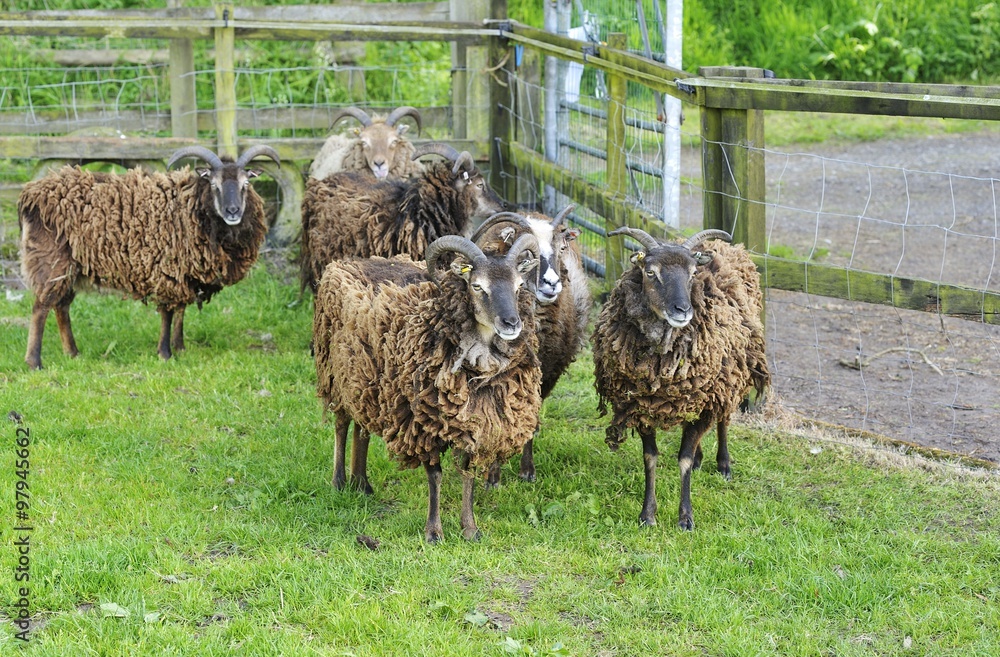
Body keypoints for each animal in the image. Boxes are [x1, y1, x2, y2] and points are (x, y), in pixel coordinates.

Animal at [18, 145, 280, 369]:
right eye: (214, 185)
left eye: (245, 184)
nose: (233, 211)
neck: (192, 206)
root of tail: (30, 196)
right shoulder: (167, 269)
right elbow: (167, 313)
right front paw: (165, 353)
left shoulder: (186, 272)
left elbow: (180, 311)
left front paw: (180, 348)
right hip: (51, 261)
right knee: (41, 307)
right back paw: (34, 362)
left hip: (72, 268)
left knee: (61, 306)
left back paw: (72, 353)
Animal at [313, 233, 542, 542]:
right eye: (477, 286)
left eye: (519, 286)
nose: (511, 323)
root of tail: (354, 260)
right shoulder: (423, 423)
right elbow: (435, 476)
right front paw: (434, 532)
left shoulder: (474, 424)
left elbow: (467, 474)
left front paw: (470, 529)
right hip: (336, 373)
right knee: (341, 423)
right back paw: (339, 481)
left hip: (366, 380)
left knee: (362, 430)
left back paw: (362, 484)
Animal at [471, 207, 593, 486]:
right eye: (526, 254)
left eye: (561, 248)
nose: (552, 284)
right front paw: (492, 476)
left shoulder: (548, 370)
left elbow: (533, 411)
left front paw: (527, 470)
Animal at [590, 227, 769, 530]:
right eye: (650, 272)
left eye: (693, 273)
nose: (682, 310)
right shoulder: (640, 405)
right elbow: (650, 458)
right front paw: (647, 514)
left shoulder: (708, 401)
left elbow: (683, 459)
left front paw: (685, 518)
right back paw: (701, 458)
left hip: (728, 381)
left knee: (724, 420)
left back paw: (723, 463)